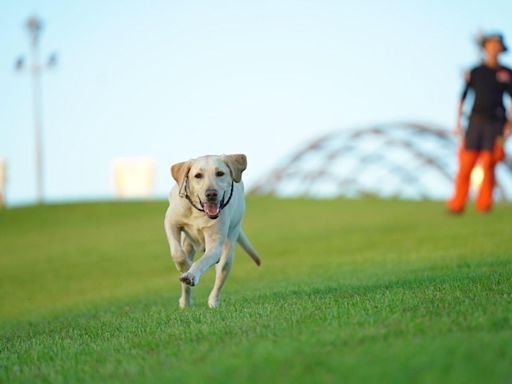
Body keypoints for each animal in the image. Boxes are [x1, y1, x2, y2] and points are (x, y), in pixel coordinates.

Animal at [164, 154, 260, 308]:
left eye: (220, 173)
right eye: (198, 175)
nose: (211, 194)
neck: (199, 212)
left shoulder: (215, 245)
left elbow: (201, 262)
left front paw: (191, 274)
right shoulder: (170, 222)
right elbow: (177, 254)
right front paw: (186, 267)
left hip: (230, 242)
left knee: (222, 271)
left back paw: (213, 301)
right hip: (187, 243)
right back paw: (185, 303)